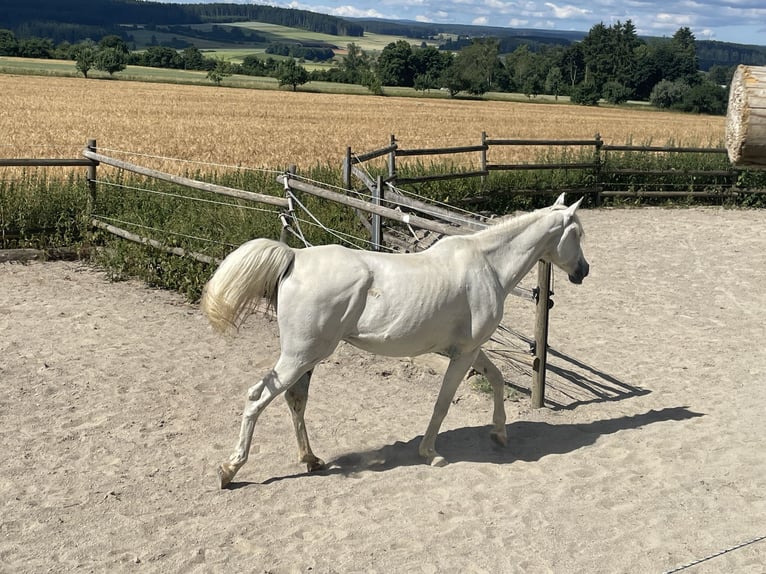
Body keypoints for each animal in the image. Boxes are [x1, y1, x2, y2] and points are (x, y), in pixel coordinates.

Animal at [201, 193, 589, 488]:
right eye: (578, 233)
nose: (583, 271)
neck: (488, 265)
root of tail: (294, 257)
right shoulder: (463, 353)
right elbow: (443, 402)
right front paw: (431, 454)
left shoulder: (470, 350)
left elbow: (495, 379)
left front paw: (500, 434)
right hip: (298, 356)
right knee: (258, 396)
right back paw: (229, 469)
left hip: (308, 358)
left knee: (295, 400)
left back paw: (311, 459)